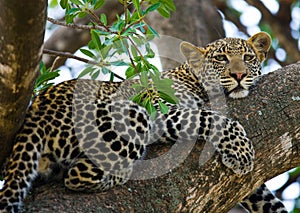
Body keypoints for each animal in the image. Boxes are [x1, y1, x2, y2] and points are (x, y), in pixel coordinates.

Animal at [0, 30, 286, 212]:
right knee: (77, 175)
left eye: (248, 58)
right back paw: (120, 175)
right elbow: (210, 118)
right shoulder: (163, 111)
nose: (239, 75)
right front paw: (241, 149)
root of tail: (36, 112)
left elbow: (263, 196)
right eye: (220, 59)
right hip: (130, 115)